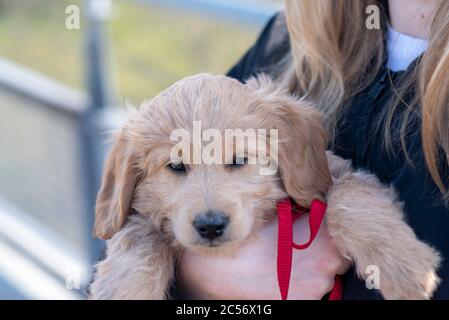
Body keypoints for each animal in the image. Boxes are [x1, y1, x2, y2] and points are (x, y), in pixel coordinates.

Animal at [89, 74, 440, 298]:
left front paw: (401, 267)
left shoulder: (340, 174)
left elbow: (350, 195)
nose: (210, 226)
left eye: (240, 159)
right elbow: (138, 235)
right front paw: (124, 289)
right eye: (175, 166)